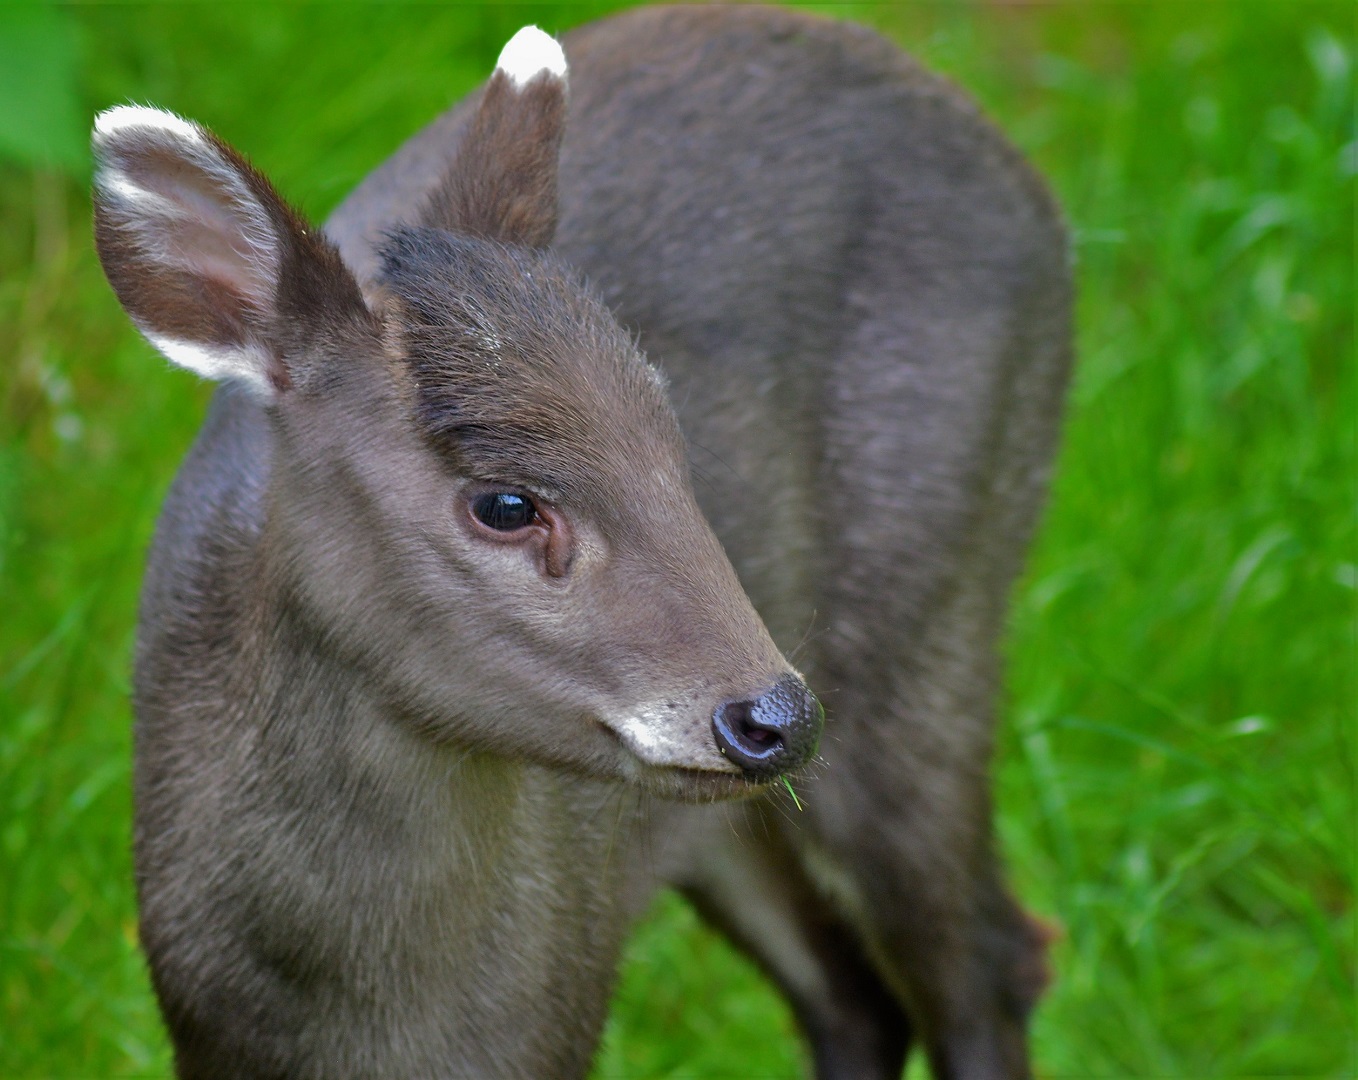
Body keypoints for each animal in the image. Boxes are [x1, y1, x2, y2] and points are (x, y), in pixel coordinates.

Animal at [92, 6, 1071, 1079]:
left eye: (674, 448)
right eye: (506, 503)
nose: (774, 719)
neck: (369, 1024)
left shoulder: (556, 1003)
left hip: (933, 610)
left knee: (986, 960)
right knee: (856, 992)